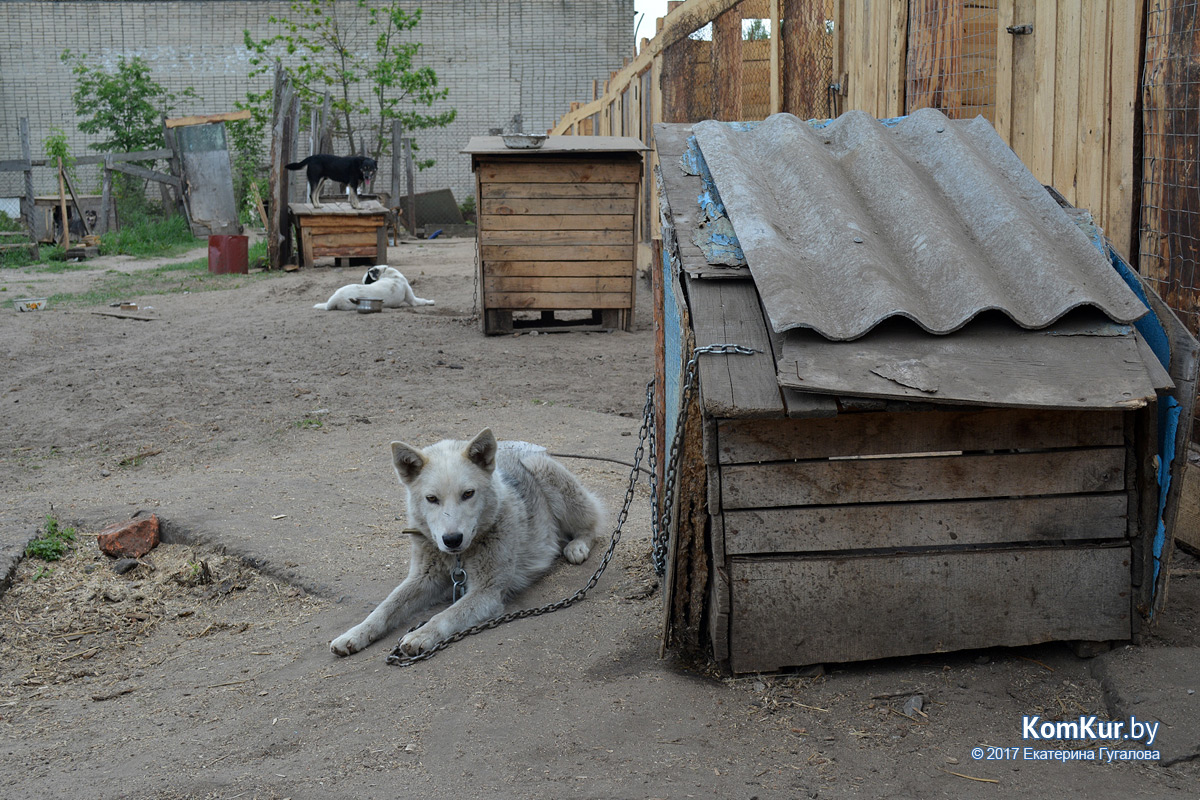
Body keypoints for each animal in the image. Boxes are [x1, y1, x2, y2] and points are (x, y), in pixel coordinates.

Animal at [328, 431, 604, 657]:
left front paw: (420, 634)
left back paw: (577, 547)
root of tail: (526, 447)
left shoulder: (487, 592)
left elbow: (446, 614)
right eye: (432, 499)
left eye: (468, 494)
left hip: (549, 478)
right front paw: (355, 634)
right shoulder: (422, 578)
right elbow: (385, 608)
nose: (452, 540)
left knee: (594, 524)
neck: (458, 558)